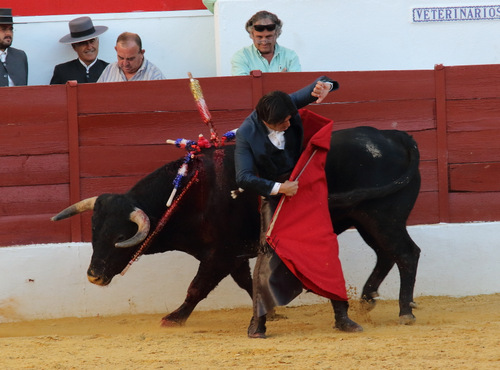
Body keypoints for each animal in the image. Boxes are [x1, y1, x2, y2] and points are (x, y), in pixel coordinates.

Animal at [52, 126, 422, 326]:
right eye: (93, 232)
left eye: (119, 236)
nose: (93, 276)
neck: (189, 191)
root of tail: (394, 136)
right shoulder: (232, 255)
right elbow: (245, 282)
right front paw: (271, 314)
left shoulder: (219, 254)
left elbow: (197, 288)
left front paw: (173, 318)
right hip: (367, 220)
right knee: (386, 255)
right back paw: (368, 300)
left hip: (384, 217)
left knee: (406, 253)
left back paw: (405, 311)